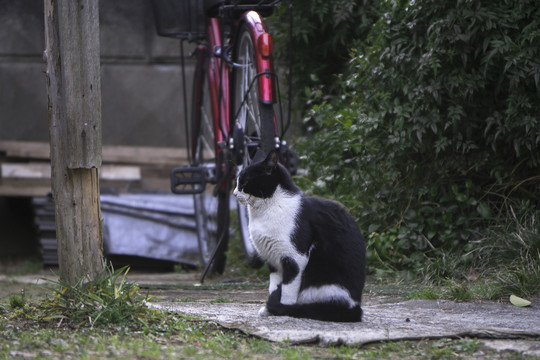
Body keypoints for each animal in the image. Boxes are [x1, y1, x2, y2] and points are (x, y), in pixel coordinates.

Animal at [233, 150, 368, 322]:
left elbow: (287, 290)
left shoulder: (295, 258)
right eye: (237, 182)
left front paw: (283, 310)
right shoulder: (273, 261)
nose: (234, 193)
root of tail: (355, 307)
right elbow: (273, 287)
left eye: (244, 182)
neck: (268, 208)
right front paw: (270, 310)